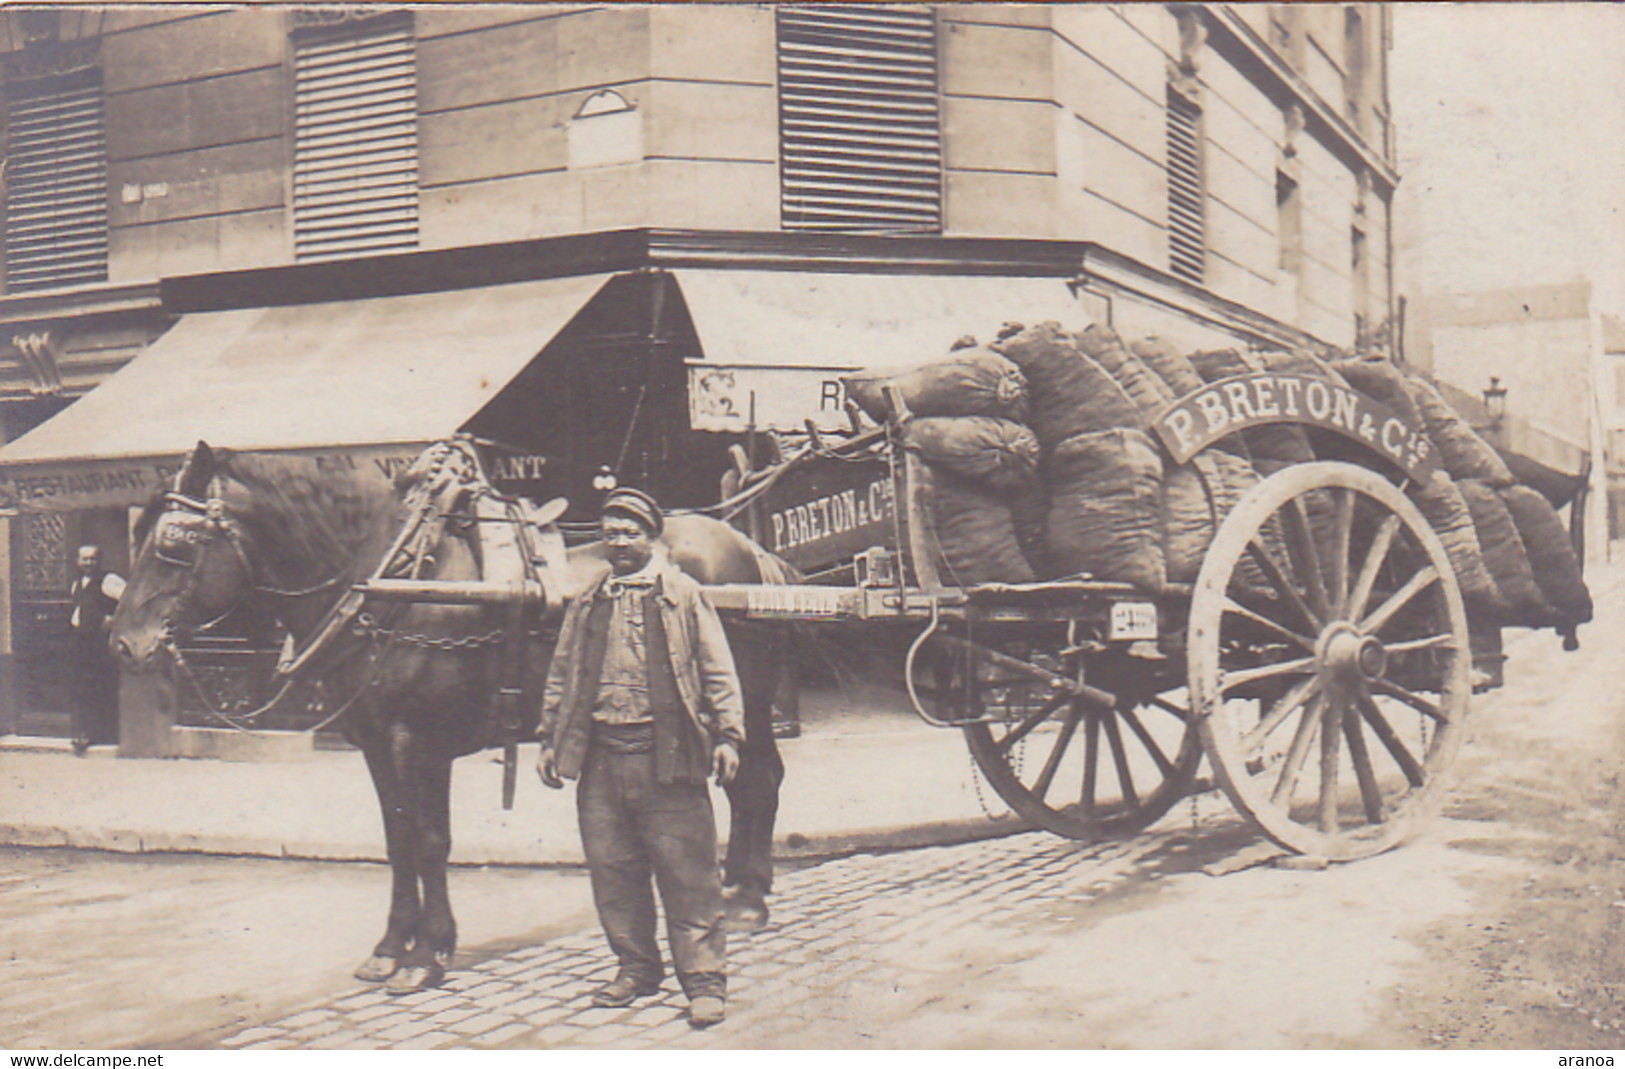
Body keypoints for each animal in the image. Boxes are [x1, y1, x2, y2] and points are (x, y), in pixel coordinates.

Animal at [109, 438, 793, 987]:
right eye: (138, 535)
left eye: (175, 543)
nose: (125, 643)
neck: (389, 583)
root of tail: (749, 550)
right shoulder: (376, 743)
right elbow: (398, 840)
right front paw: (390, 946)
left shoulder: (420, 741)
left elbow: (431, 841)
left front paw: (427, 954)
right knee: (752, 783)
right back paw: (739, 889)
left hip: (744, 701)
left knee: (756, 781)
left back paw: (747, 900)